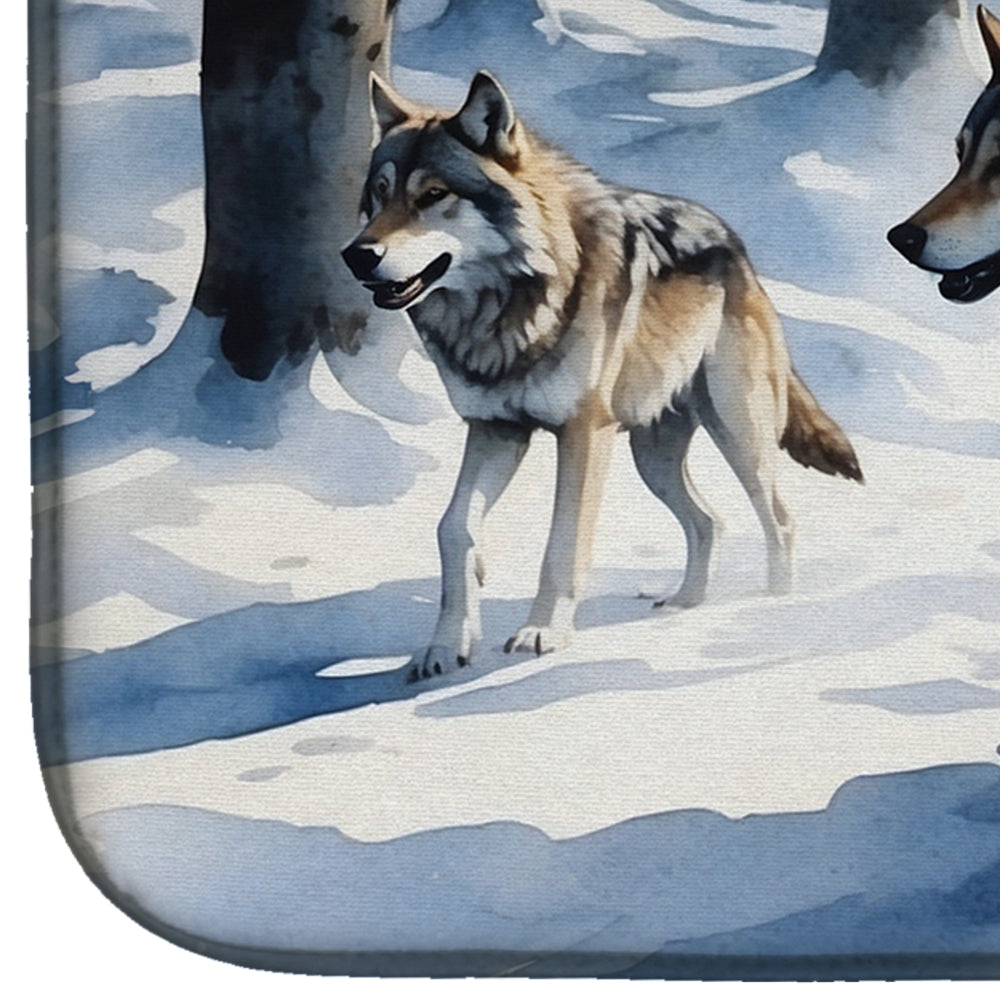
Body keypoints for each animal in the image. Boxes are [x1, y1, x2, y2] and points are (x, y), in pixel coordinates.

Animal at [342, 71, 863, 680]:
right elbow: (453, 528)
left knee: (779, 520)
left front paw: (543, 632)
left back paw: (774, 606)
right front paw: (448, 644)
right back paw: (685, 603)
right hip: (650, 458)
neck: (509, 305)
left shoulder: (583, 434)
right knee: (709, 521)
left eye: (432, 196)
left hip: (741, 438)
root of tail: (735, 246)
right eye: (380, 194)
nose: (356, 255)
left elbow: (563, 542)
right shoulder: (496, 430)